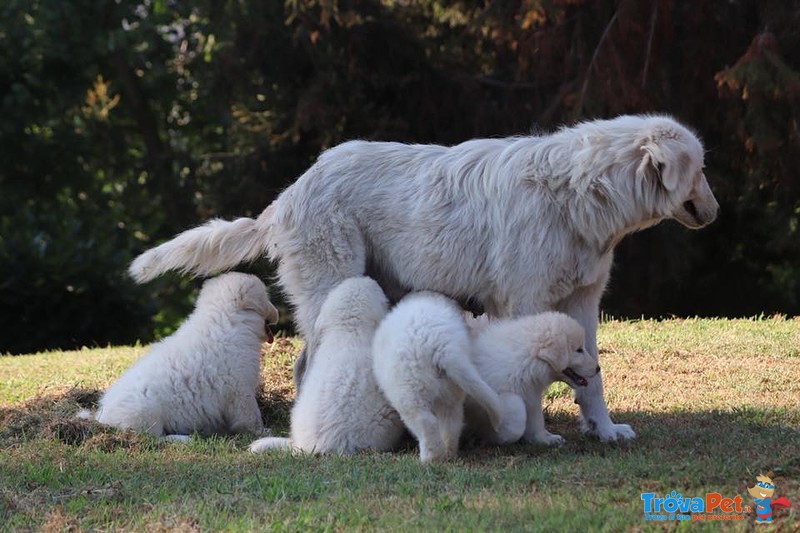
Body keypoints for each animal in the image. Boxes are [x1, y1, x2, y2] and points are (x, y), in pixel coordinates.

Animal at [79, 272, 278, 438]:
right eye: (267, 298)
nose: (276, 313)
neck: (227, 320)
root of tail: (103, 417)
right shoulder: (240, 389)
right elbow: (250, 416)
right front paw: (262, 432)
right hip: (146, 416)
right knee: (154, 439)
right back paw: (184, 439)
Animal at [462, 310, 600, 446]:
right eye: (579, 350)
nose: (598, 368)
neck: (525, 360)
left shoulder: (531, 395)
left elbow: (536, 421)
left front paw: (545, 438)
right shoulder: (481, 397)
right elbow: (514, 418)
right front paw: (496, 436)